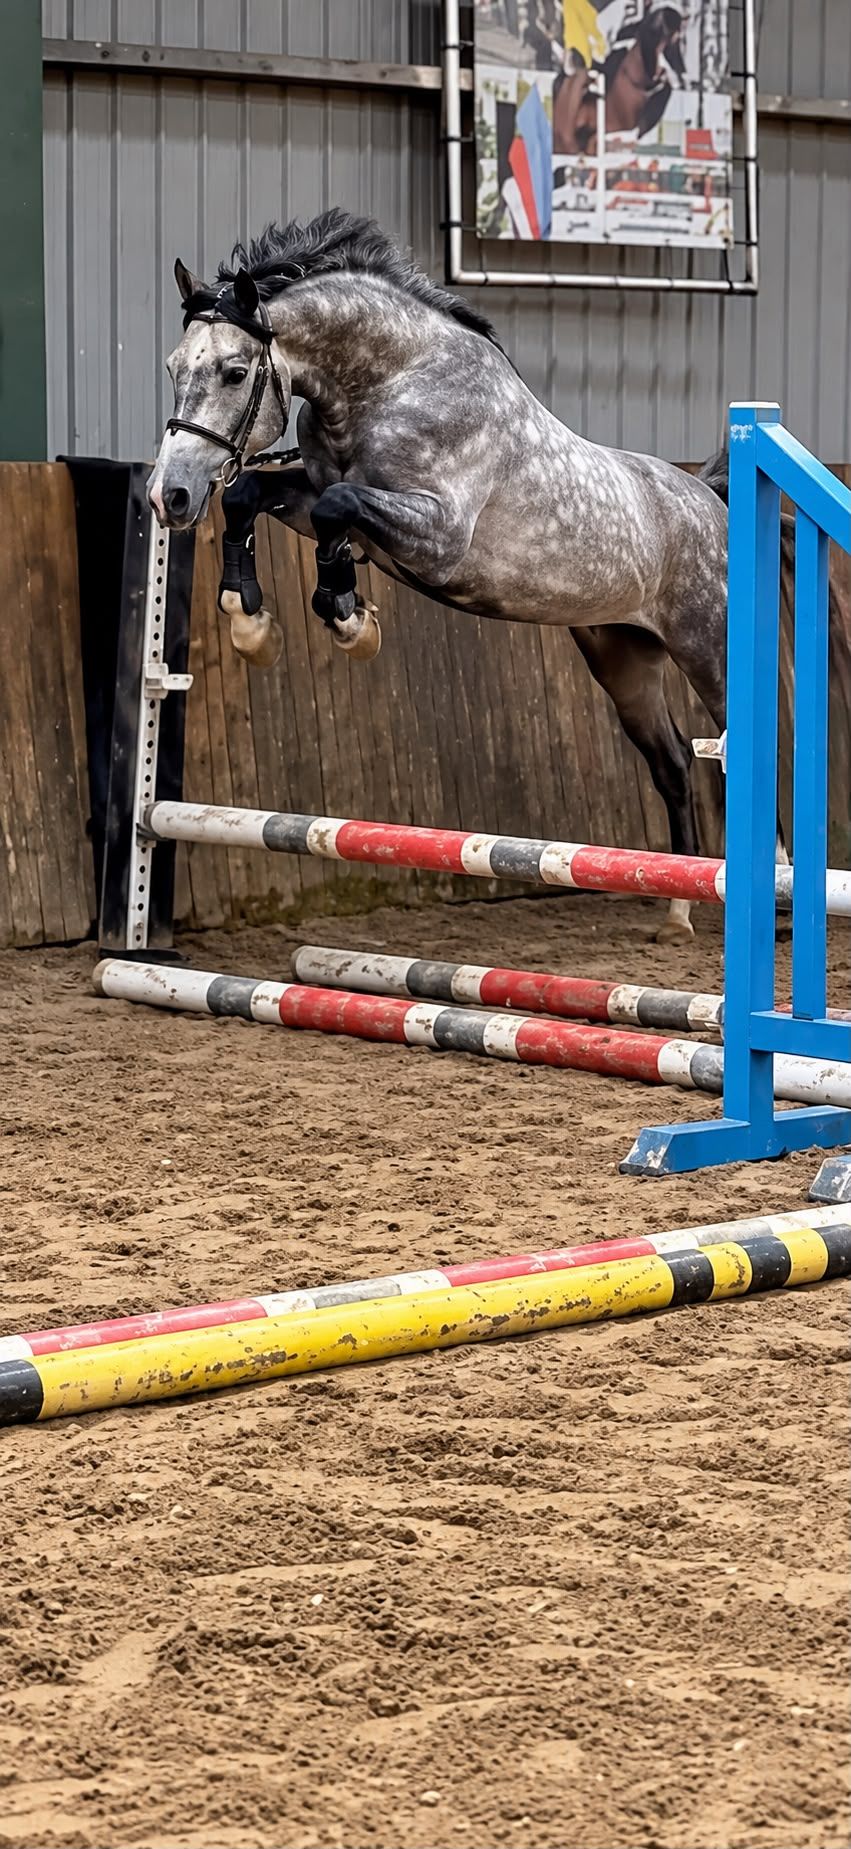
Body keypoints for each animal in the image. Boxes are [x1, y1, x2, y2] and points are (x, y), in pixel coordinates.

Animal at [147, 208, 744, 943]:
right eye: (175, 366)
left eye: (234, 372)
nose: (169, 496)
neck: (390, 382)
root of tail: (708, 500)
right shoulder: (315, 494)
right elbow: (258, 498)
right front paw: (252, 620)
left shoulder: (438, 537)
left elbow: (337, 505)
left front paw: (347, 618)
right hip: (623, 661)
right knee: (674, 764)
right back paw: (676, 911)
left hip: (707, 649)